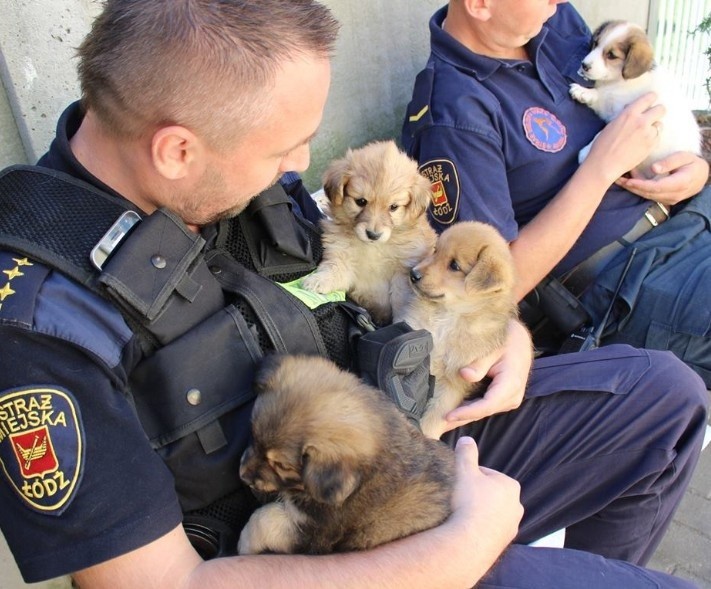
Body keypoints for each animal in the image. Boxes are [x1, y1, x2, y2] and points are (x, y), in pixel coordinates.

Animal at [236, 354, 454, 556]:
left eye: (281, 466)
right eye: (253, 435)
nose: (242, 476)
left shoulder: (316, 534)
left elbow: (263, 520)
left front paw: (244, 544)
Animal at [302, 141, 436, 326]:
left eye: (393, 207)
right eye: (361, 201)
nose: (373, 235)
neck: (373, 248)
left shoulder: (403, 274)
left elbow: (401, 302)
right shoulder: (342, 255)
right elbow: (334, 270)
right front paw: (318, 280)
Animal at [398, 220, 520, 436]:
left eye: (454, 265)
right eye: (436, 250)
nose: (413, 273)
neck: (447, 317)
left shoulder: (454, 383)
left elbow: (432, 421)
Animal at [568, 20, 700, 177]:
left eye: (611, 55)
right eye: (596, 43)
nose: (584, 65)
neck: (620, 81)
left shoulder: (619, 112)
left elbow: (601, 133)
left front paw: (585, 153)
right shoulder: (610, 105)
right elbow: (600, 95)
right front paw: (583, 92)